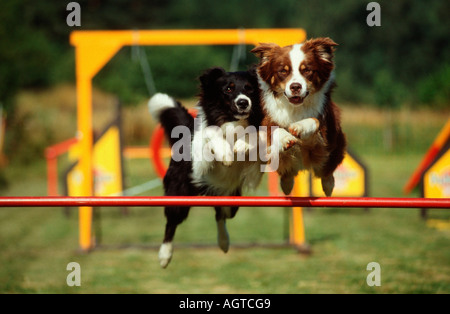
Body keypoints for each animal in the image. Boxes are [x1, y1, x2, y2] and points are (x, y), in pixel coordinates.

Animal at [148, 66, 264, 268]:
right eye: (228, 89)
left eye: (249, 88)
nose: (243, 102)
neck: (232, 122)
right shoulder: (200, 163)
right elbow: (211, 134)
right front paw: (225, 153)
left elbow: (257, 137)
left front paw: (243, 144)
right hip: (178, 195)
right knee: (171, 222)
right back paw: (164, 255)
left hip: (231, 199)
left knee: (220, 214)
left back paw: (224, 242)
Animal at [251, 38, 346, 196]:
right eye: (283, 71)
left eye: (307, 70)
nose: (295, 87)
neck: (295, 108)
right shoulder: (267, 119)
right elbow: (273, 128)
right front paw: (285, 138)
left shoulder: (324, 132)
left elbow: (315, 121)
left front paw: (299, 127)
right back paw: (287, 183)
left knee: (327, 170)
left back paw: (328, 185)